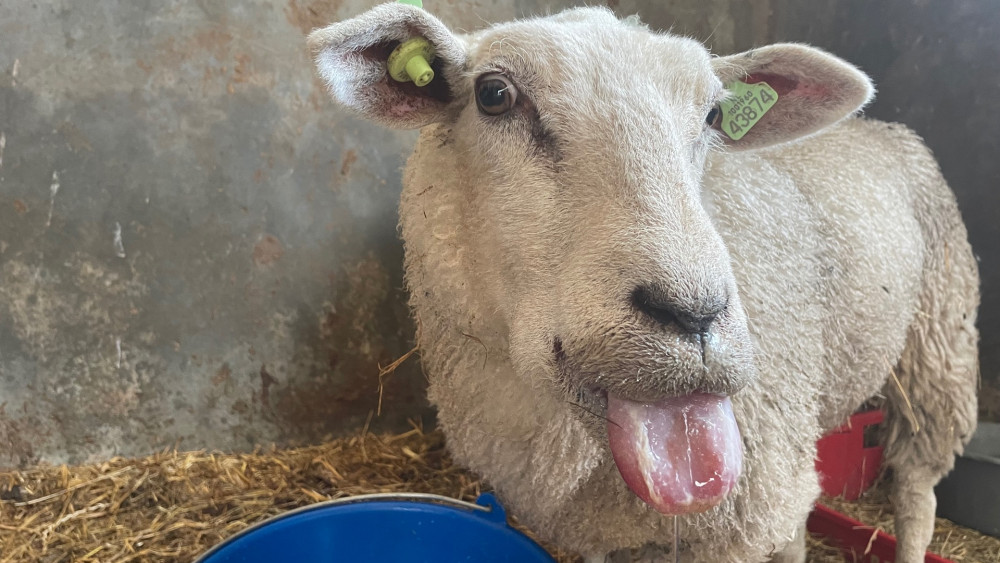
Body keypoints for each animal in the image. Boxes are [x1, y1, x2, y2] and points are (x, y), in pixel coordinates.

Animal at [304, 5, 976, 563]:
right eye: (493, 95)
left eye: (714, 114)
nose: (694, 315)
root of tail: (884, 126)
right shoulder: (595, 527)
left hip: (939, 348)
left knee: (915, 494)